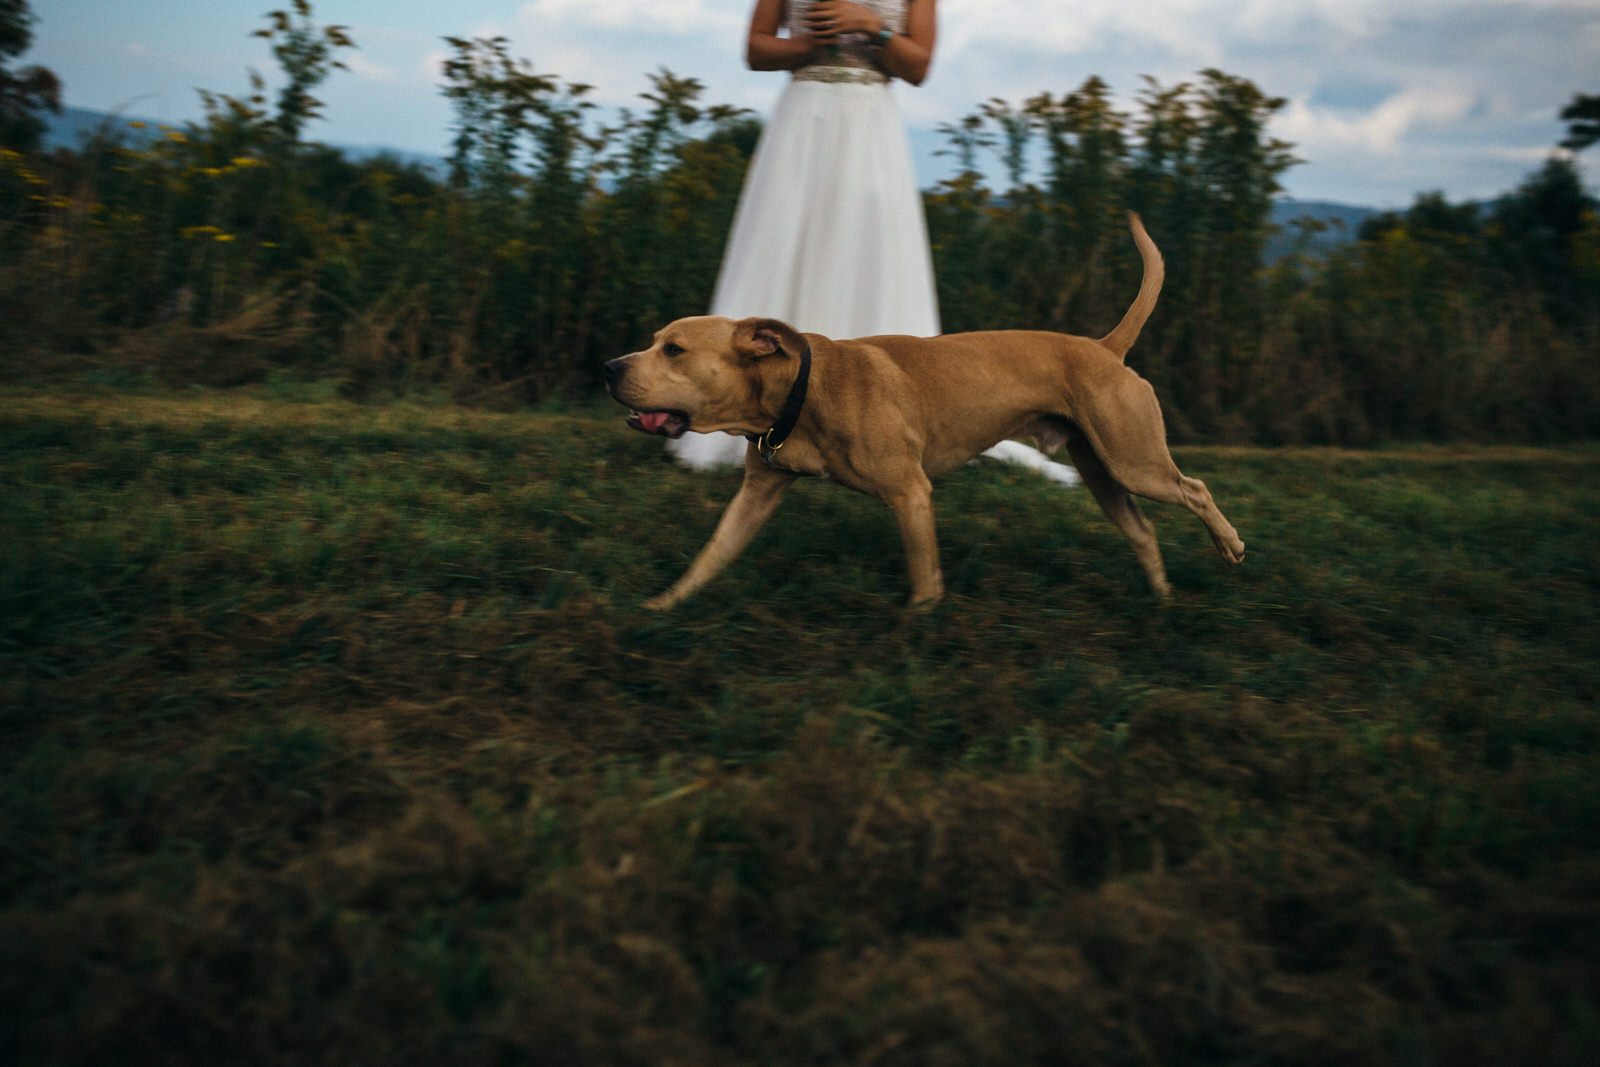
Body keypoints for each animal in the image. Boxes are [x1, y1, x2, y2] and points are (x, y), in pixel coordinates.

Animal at [604, 214, 1241, 607]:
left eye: (674, 350)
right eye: (655, 340)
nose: (609, 367)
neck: (802, 389)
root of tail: (1107, 348)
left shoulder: (910, 494)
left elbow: (924, 576)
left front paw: (919, 624)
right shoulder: (756, 496)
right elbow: (709, 558)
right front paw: (663, 605)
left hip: (1134, 460)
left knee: (1197, 489)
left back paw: (1230, 547)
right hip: (1103, 473)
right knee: (1143, 530)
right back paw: (1161, 599)